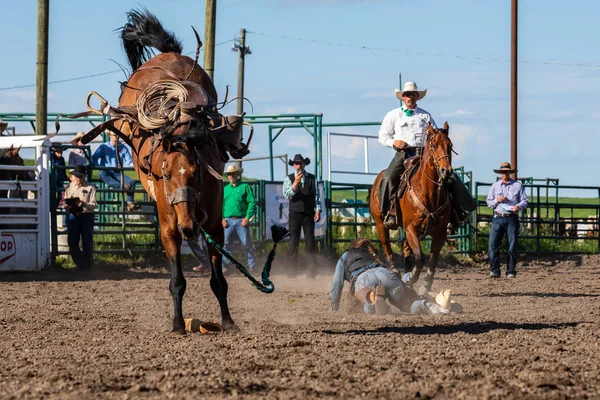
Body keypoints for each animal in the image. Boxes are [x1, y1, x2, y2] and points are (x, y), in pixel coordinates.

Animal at [368, 121, 452, 290]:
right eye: (434, 145)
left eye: (450, 145)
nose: (446, 171)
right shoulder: (411, 228)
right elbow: (420, 257)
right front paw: (413, 277)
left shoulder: (440, 232)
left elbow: (433, 260)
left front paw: (425, 285)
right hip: (381, 223)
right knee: (387, 248)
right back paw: (395, 271)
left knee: (406, 251)